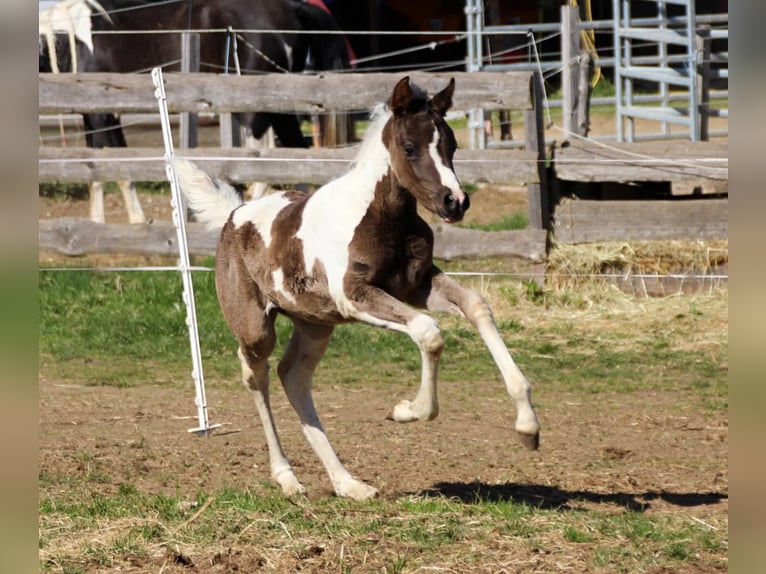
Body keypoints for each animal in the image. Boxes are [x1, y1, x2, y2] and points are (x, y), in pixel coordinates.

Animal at [39, 0, 351, 223]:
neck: (71, 39)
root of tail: (293, 7)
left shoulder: (102, 114)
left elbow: (112, 167)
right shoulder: (96, 115)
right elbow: (100, 169)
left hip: (256, 108)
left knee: (263, 156)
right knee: (296, 151)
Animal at [172, 76, 541, 500]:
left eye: (452, 144)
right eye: (410, 147)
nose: (456, 202)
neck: (382, 217)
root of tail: (234, 215)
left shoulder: (417, 285)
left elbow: (477, 306)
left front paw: (528, 428)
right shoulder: (355, 296)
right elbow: (428, 332)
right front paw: (406, 410)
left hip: (315, 324)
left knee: (293, 377)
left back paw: (348, 483)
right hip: (256, 328)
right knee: (256, 375)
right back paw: (287, 477)